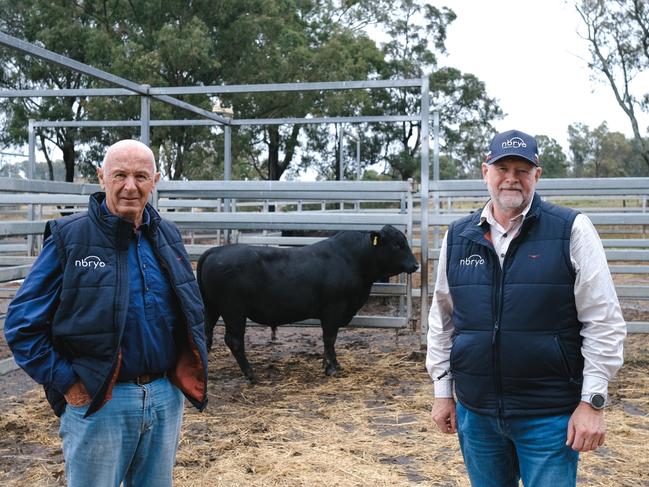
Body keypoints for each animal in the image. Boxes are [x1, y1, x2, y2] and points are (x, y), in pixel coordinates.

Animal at [197, 225, 418, 382]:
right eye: (397, 244)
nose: (415, 265)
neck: (354, 259)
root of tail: (214, 251)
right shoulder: (333, 309)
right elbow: (329, 338)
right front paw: (332, 367)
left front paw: (328, 364)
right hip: (233, 310)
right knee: (234, 340)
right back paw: (251, 374)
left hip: (211, 308)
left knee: (205, 336)